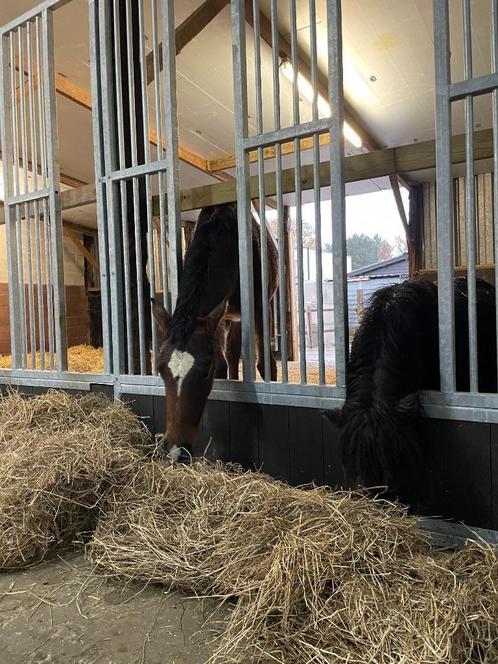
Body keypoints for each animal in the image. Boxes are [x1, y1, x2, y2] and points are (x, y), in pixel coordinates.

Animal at [152, 202, 278, 462]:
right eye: (159, 370)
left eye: (204, 372)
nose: (176, 450)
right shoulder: (216, 320)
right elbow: (223, 364)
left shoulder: (259, 309)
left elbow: (265, 365)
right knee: (231, 356)